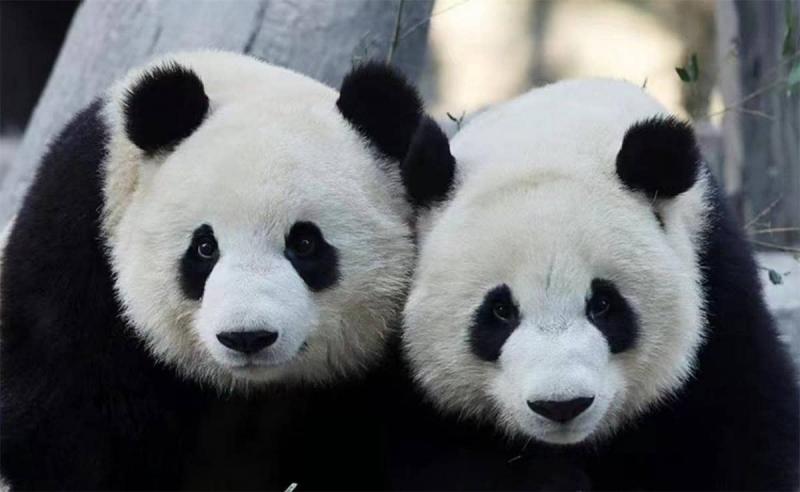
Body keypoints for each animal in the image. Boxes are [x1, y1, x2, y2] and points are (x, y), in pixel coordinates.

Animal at [392, 79, 800, 490]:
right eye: (501, 311)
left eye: (602, 304)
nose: (561, 405)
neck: (547, 135)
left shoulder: (719, 297)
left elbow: (745, 434)